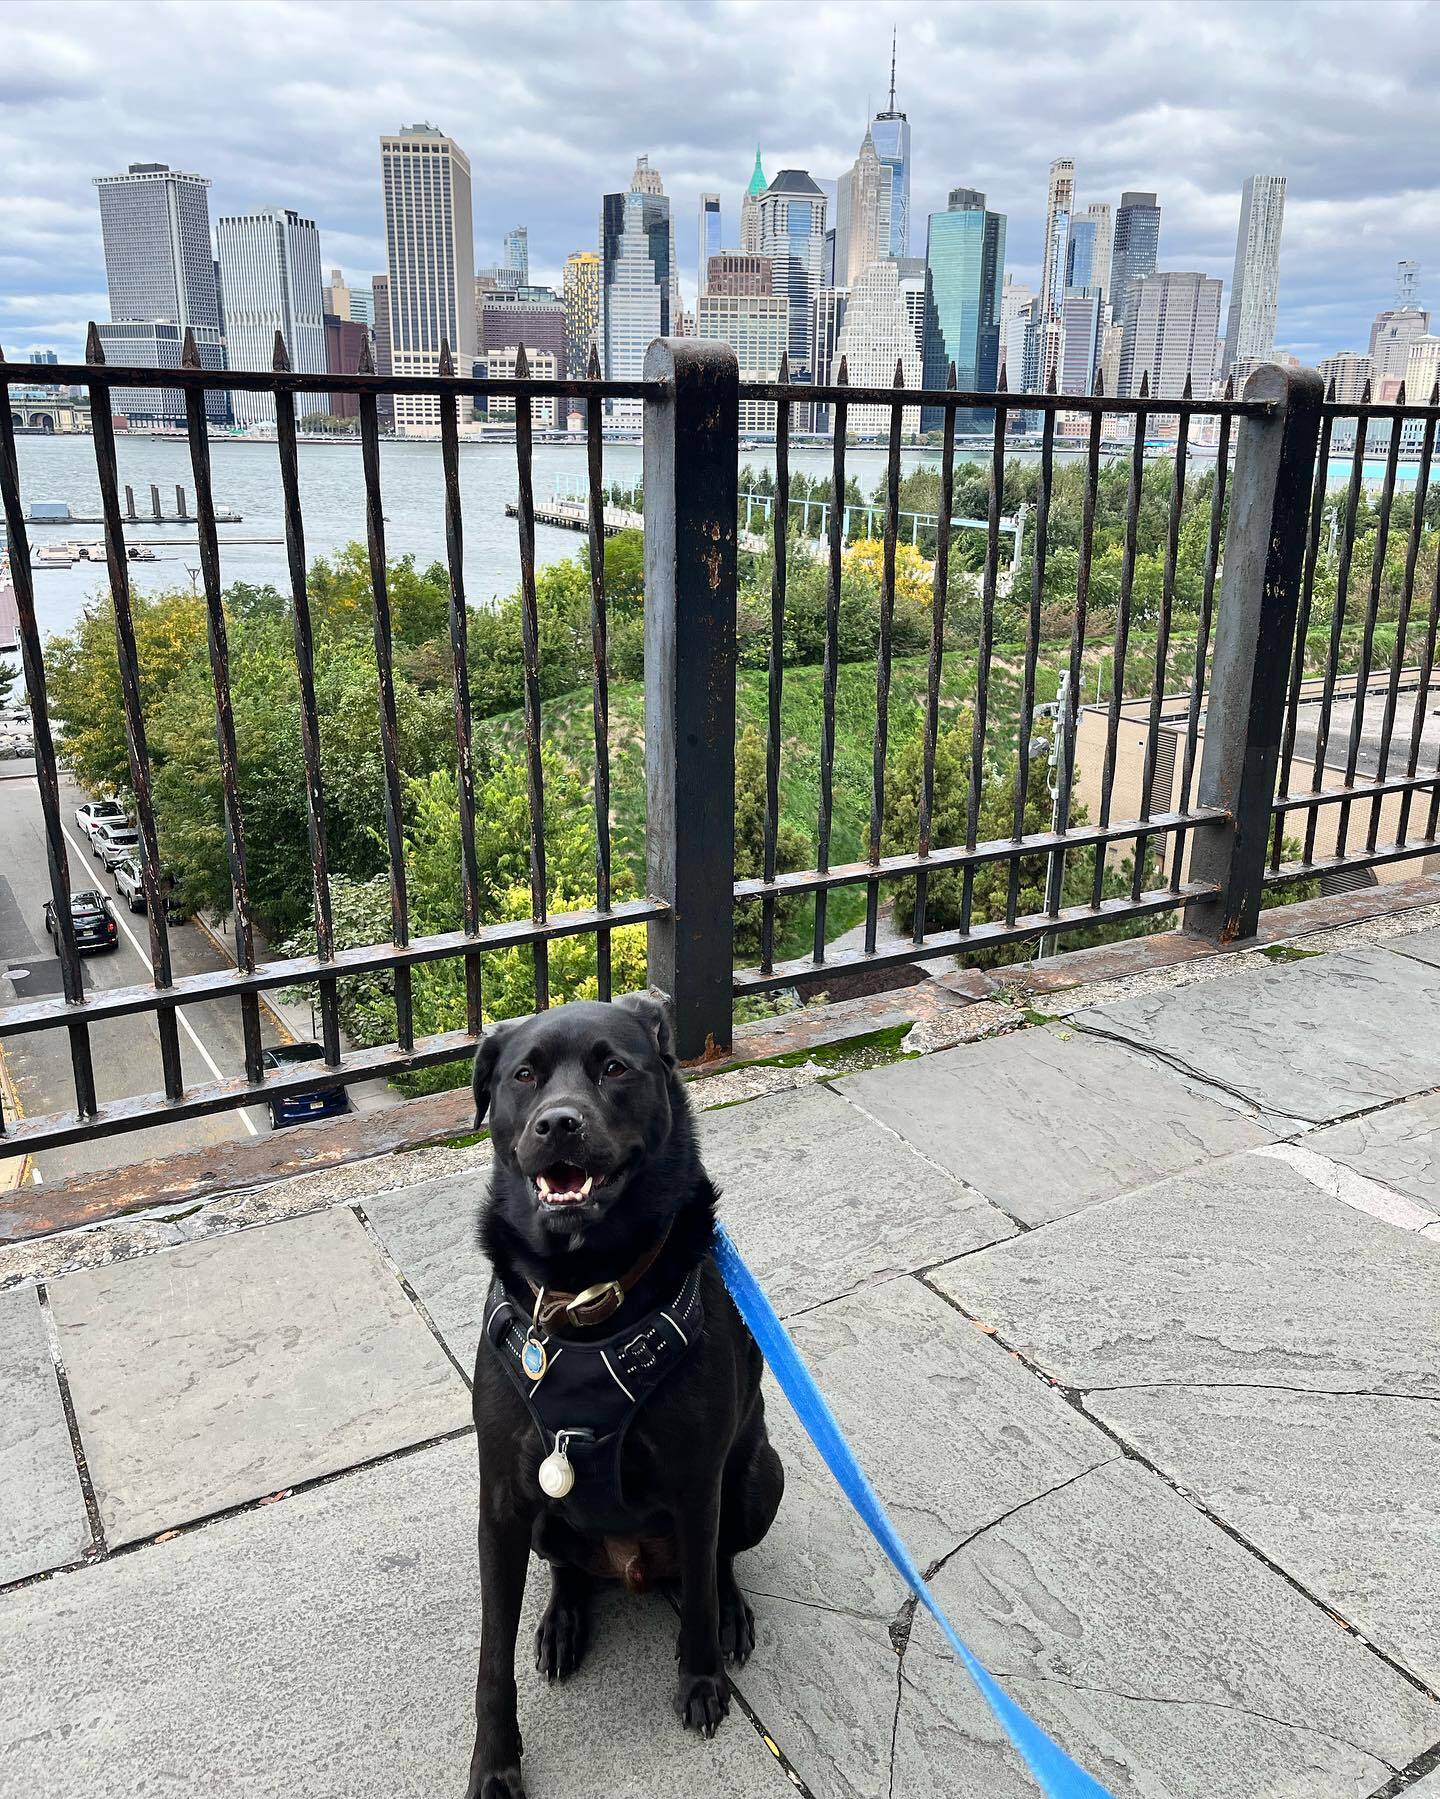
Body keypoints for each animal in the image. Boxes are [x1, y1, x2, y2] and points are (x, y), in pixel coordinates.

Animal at [464, 1000, 781, 1799]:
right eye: (524, 1076)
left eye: (613, 1067)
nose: (558, 1124)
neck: (586, 1297)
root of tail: (632, 1568)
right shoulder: (502, 1502)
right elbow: (492, 1657)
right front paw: (495, 1762)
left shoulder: (696, 1480)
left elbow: (697, 1592)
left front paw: (700, 1677)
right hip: (547, 1523)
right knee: (569, 1568)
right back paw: (563, 1621)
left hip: (759, 1478)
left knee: (716, 1561)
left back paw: (729, 1614)